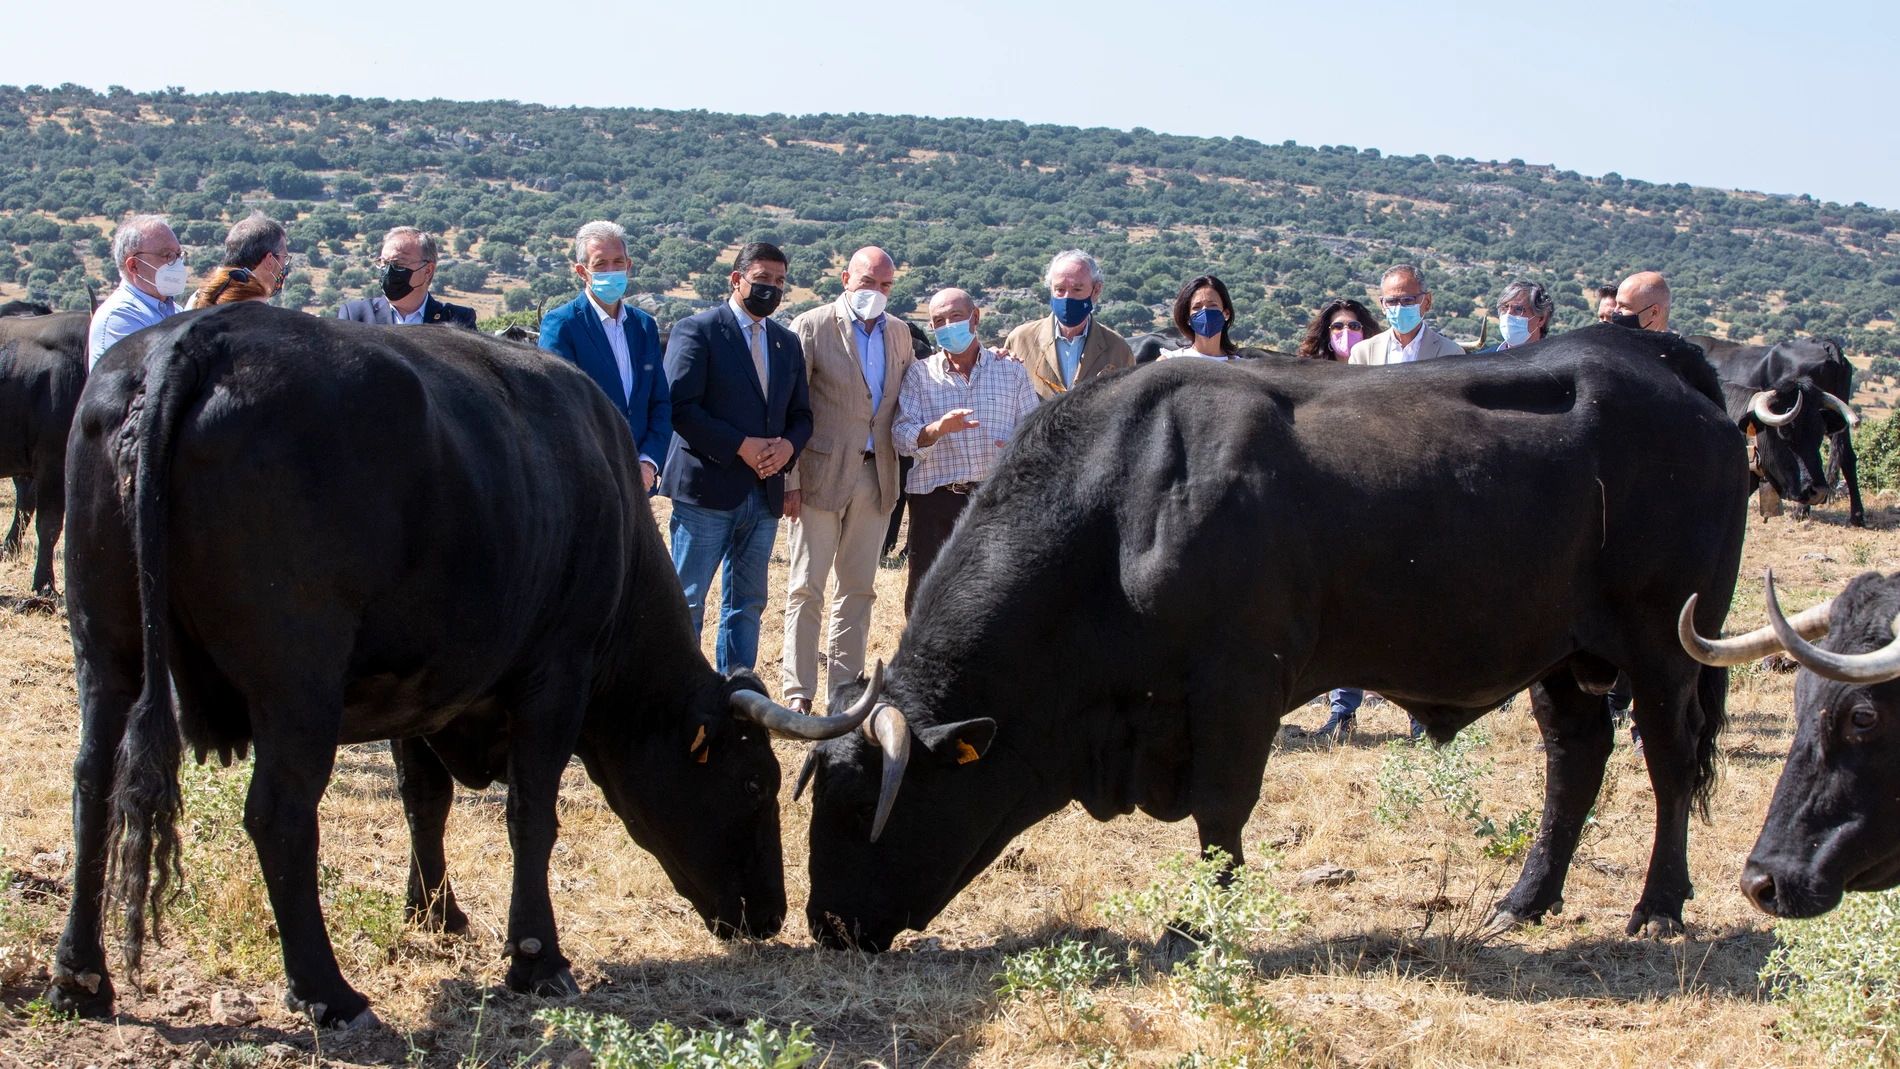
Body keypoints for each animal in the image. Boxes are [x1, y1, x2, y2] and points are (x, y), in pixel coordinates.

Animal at [48, 303, 870, 1025]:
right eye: (756, 783)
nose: (771, 914)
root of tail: (197, 337)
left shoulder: (419, 686)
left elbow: (425, 800)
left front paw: (435, 911)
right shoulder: (556, 676)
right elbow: (532, 813)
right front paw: (537, 957)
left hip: (107, 650)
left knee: (94, 783)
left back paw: (80, 976)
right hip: (297, 681)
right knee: (279, 815)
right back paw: (328, 993)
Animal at [798, 326, 1748, 953]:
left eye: (858, 809)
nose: (824, 925)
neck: (1121, 509)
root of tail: (1654, 358)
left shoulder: (1241, 682)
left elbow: (1222, 809)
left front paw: (1201, 923)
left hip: (1665, 643)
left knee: (1668, 762)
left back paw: (1659, 906)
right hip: (1565, 655)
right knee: (1573, 762)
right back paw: (1526, 897)